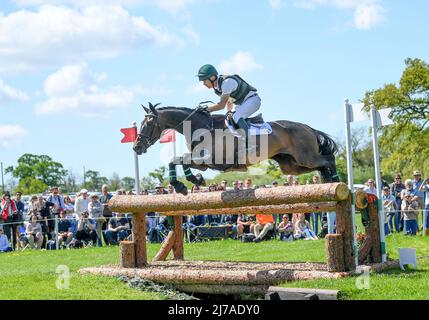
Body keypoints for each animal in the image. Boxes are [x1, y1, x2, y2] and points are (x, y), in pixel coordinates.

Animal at [134, 102, 338, 195]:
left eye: (149, 123)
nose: (137, 147)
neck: (200, 126)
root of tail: (308, 127)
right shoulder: (204, 163)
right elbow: (177, 161)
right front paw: (193, 181)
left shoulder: (207, 159)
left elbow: (178, 160)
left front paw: (185, 184)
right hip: (292, 165)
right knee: (320, 165)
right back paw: (327, 181)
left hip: (305, 157)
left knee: (328, 159)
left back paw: (335, 180)